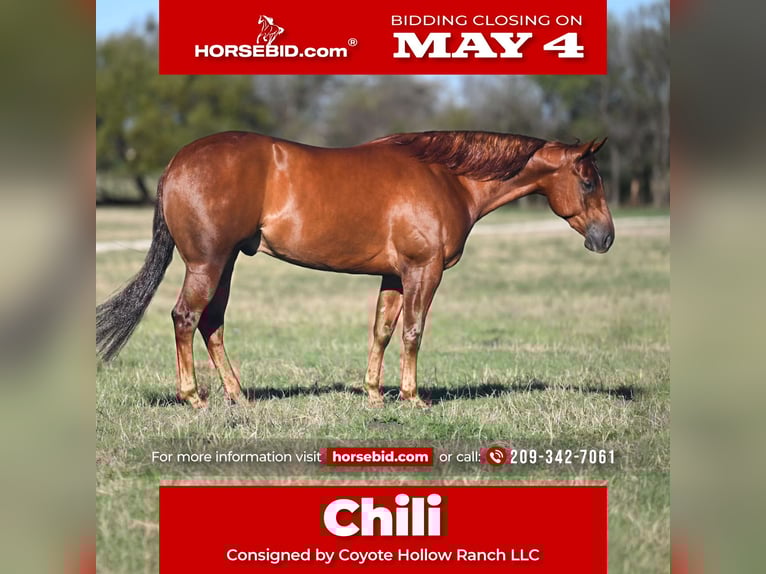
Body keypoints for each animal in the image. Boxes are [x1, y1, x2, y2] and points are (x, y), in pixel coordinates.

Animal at [96, 131, 613, 409]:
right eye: (588, 181)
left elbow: (382, 330)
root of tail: (177, 163)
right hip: (208, 263)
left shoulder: (395, 275)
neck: (446, 177)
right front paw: (412, 397)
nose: (605, 237)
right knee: (186, 318)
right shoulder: (424, 271)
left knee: (211, 324)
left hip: (224, 264)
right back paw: (194, 396)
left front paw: (374, 393)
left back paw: (238, 395)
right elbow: (413, 332)